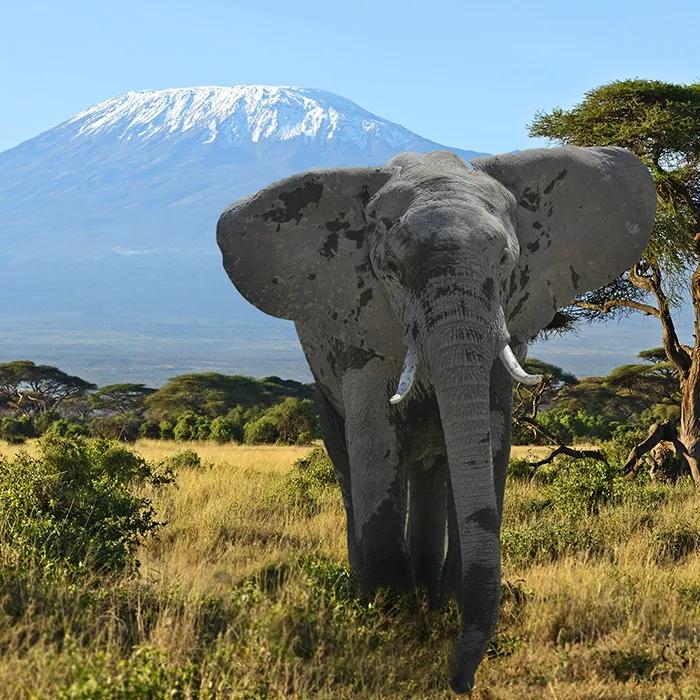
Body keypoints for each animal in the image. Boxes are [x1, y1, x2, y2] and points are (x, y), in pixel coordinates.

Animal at [216, 146, 656, 693]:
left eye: (508, 261)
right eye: (391, 267)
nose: (459, 681)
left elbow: (491, 432)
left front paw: (438, 605)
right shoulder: (359, 324)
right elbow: (373, 433)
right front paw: (388, 614)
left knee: (430, 466)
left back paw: (429, 589)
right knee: (349, 460)